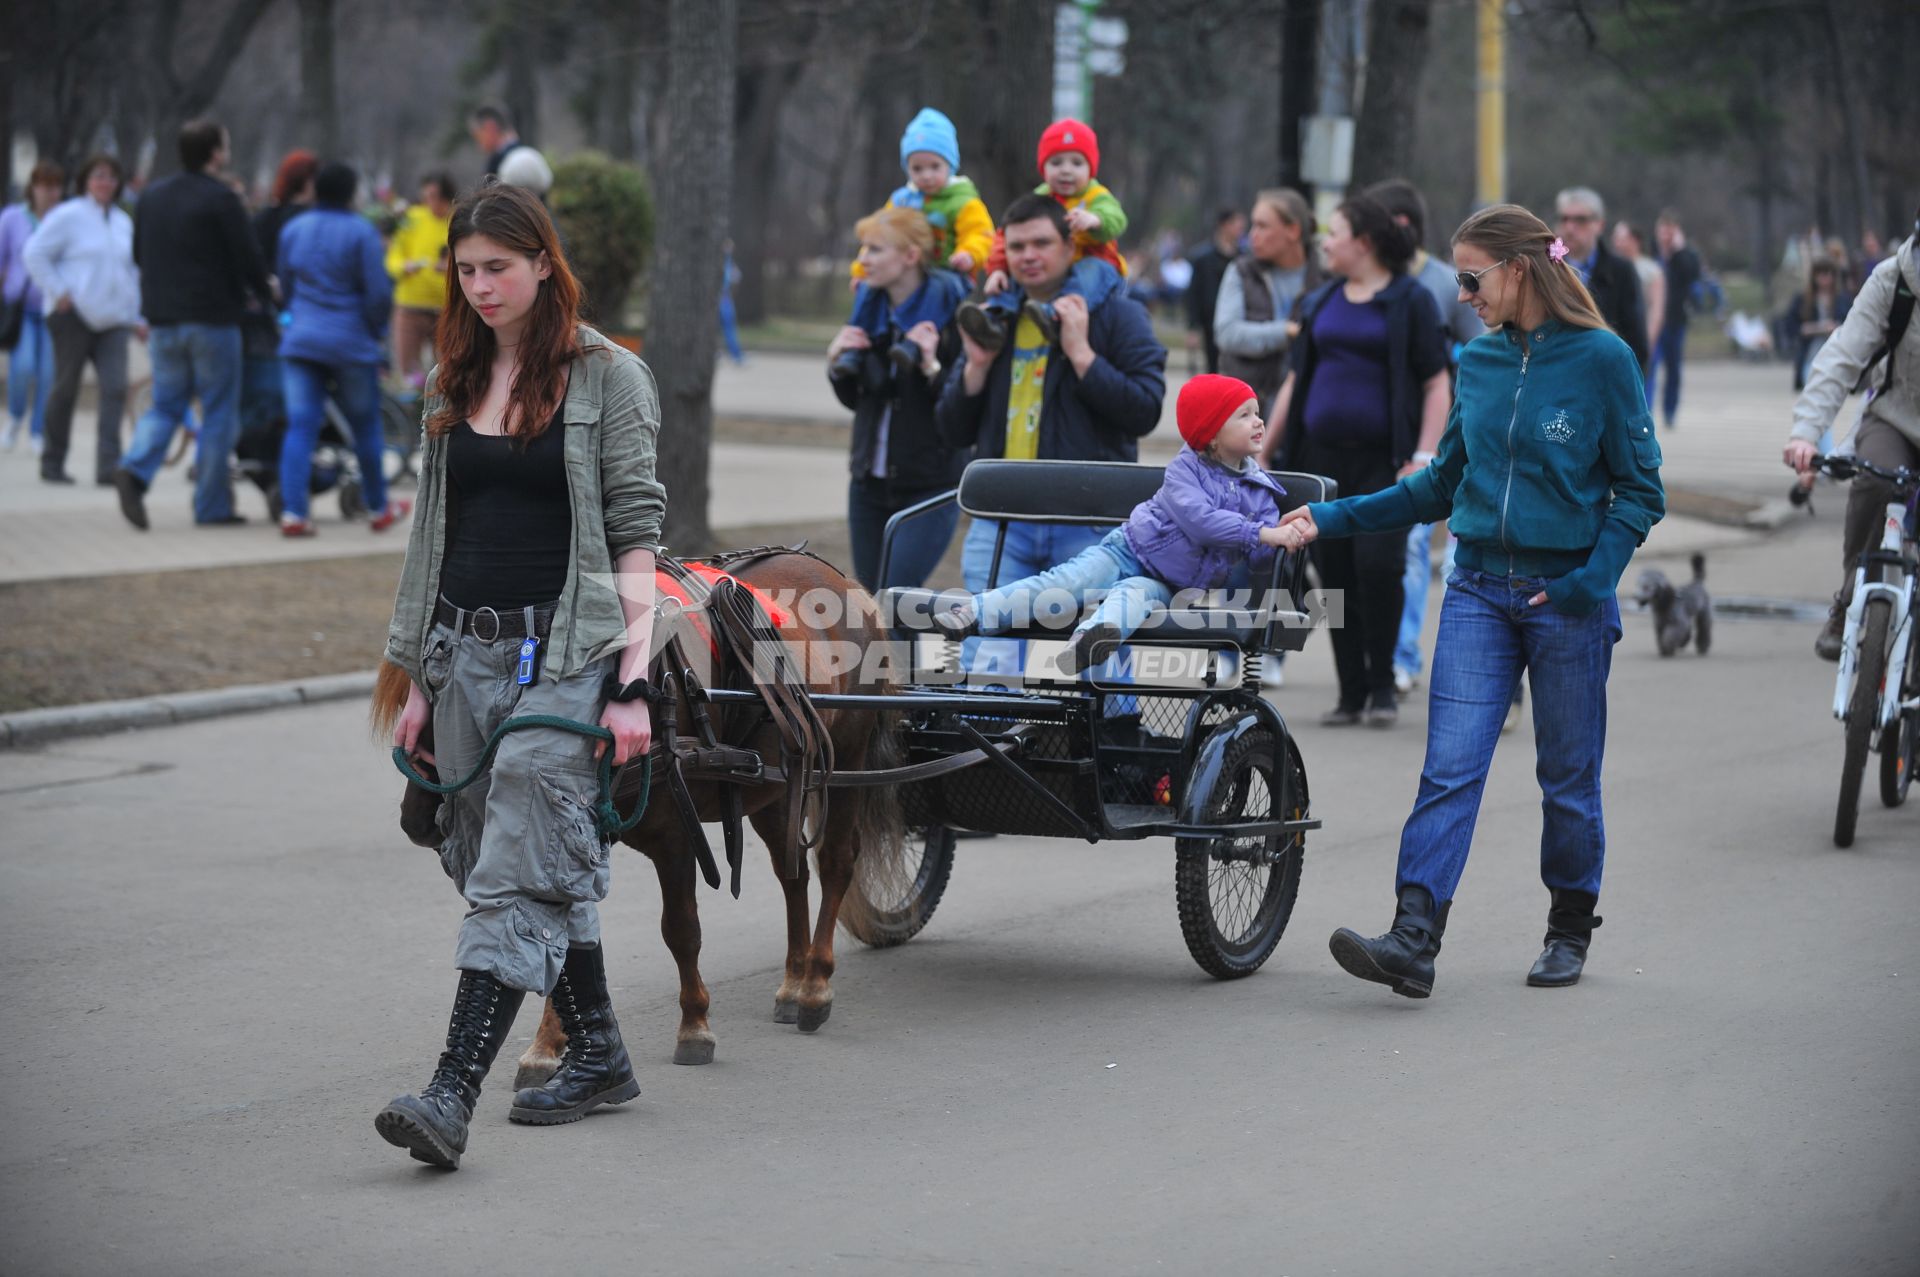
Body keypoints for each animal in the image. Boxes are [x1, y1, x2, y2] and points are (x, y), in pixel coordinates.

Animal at [380, 549, 913, 1075]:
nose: (416, 822)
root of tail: (847, 583)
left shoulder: (673, 834)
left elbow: (681, 929)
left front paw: (695, 1025)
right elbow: (560, 932)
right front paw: (548, 1043)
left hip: (848, 761)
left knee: (836, 862)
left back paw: (816, 985)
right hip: (778, 786)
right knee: (793, 872)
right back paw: (793, 980)